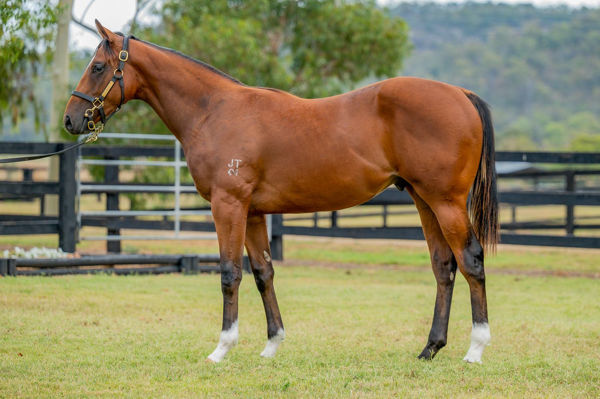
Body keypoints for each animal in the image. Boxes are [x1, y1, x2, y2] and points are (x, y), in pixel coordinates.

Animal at [64, 21, 496, 366]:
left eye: (98, 67)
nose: (70, 120)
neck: (214, 110)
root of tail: (461, 93)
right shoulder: (253, 212)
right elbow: (263, 273)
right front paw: (272, 344)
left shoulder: (228, 206)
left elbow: (230, 273)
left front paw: (222, 348)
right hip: (424, 201)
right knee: (443, 266)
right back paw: (430, 348)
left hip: (446, 203)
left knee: (470, 261)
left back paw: (475, 349)